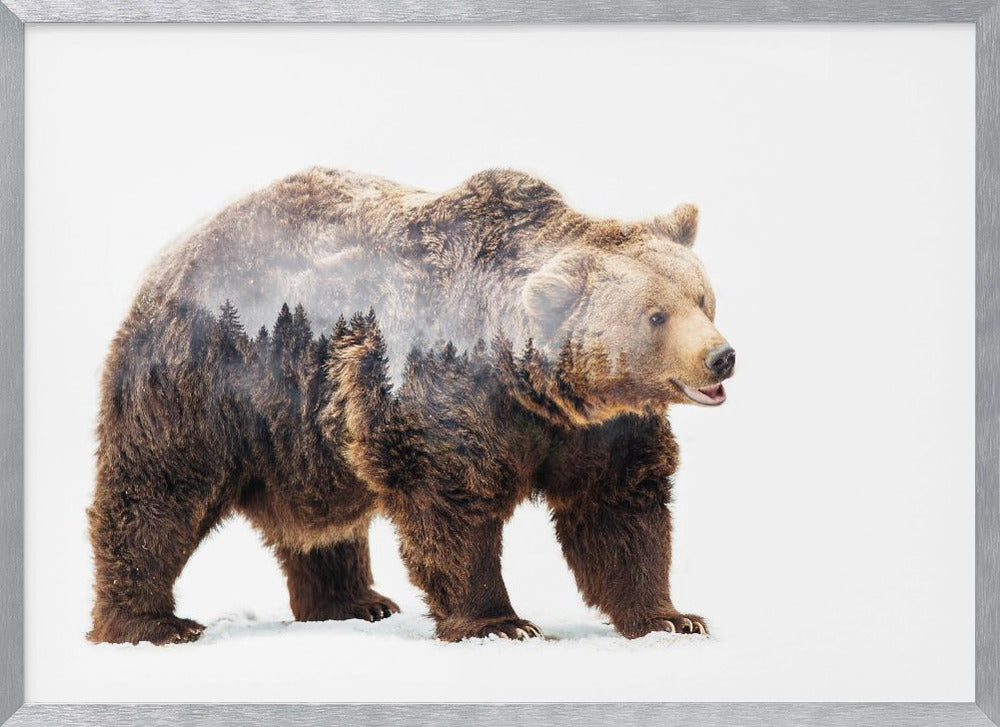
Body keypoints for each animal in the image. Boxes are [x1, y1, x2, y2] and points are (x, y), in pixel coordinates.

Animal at [87, 168, 735, 644]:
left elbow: (619, 510)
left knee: (321, 525)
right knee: (159, 491)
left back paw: (354, 601)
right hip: (207, 379)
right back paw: (151, 623)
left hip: (305, 434)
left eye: (703, 298)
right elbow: (452, 506)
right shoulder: (444, 393)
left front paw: (671, 616)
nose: (720, 357)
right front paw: (501, 623)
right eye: (655, 315)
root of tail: (172, 254)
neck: (535, 387)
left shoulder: (599, 430)